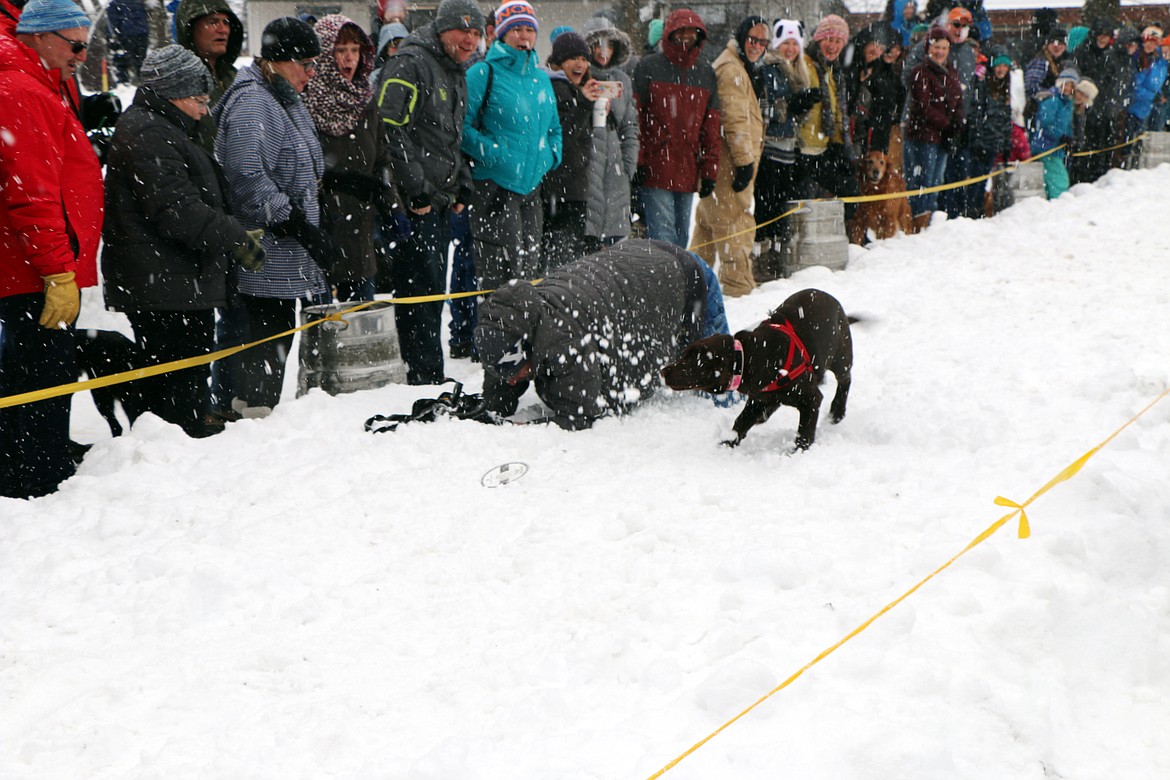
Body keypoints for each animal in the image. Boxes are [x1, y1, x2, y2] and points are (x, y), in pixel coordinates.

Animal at [664, 290, 856, 451]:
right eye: (684, 355)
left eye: (691, 361)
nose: (663, 371)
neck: (746, 358)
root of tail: (832, 299)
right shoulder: (758, 399)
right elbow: (741, 421)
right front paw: (727, 443)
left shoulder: (811, 398)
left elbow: (805, 429)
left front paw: (798, 451)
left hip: (841, 357)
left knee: (845, 379)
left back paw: (837, 412)